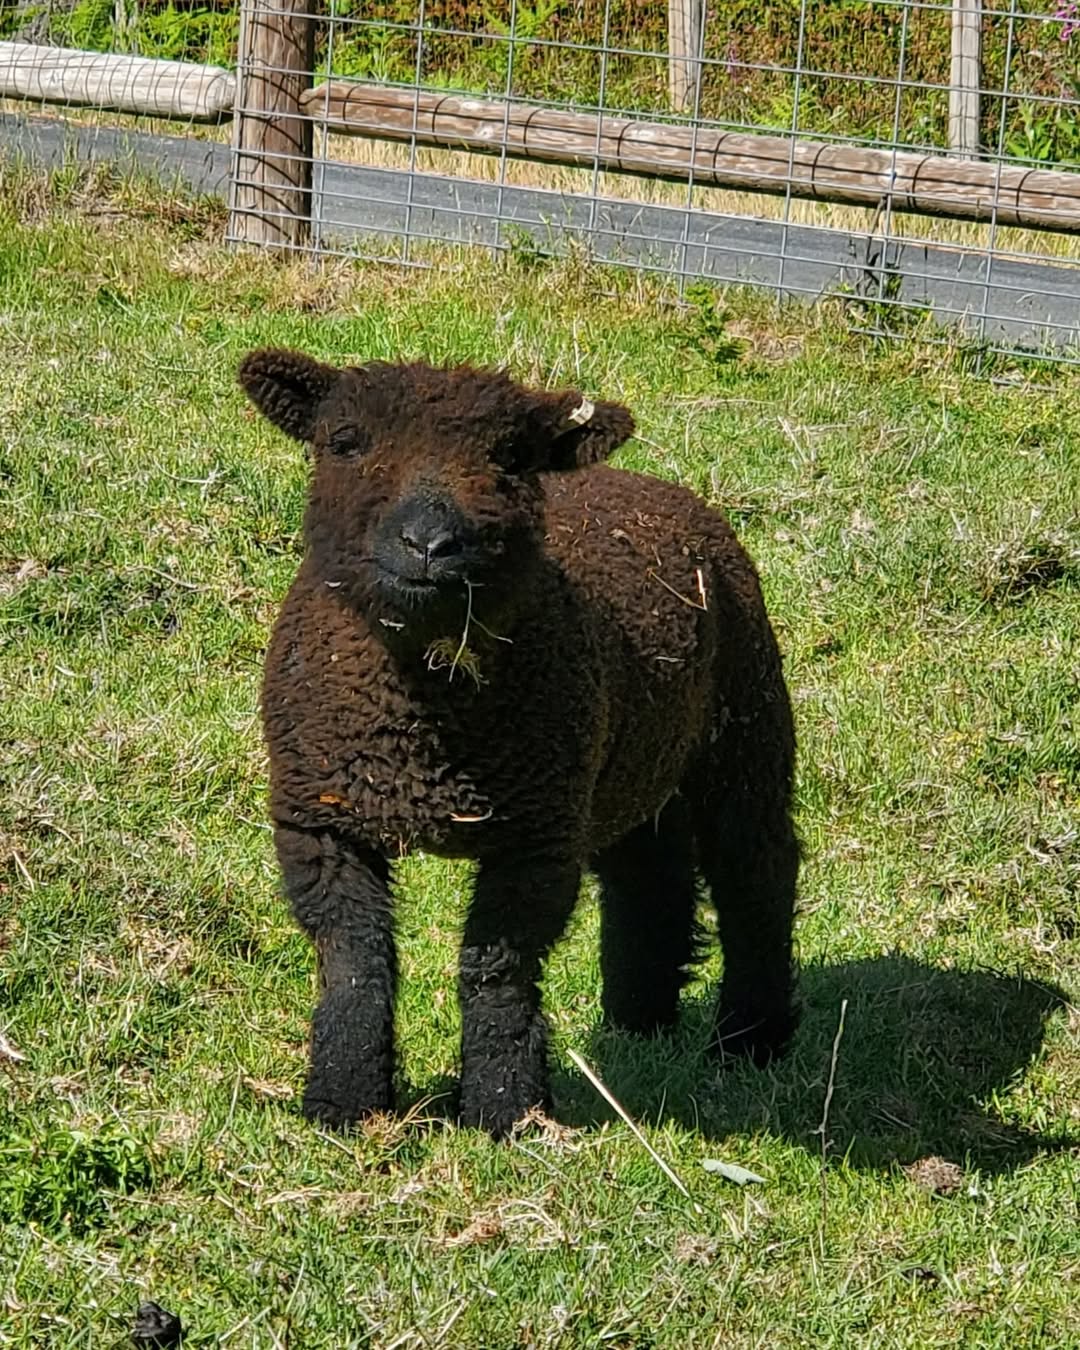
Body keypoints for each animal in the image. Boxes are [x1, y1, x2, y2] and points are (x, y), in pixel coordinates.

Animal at [239, 348, 800, 1140]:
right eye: (344, 440)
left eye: (510, 457)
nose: (429, 545)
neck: (421, 724)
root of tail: (649, 481)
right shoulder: (321, 821)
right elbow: (355, 962)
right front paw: (343, 1105)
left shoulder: (534, 838)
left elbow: (496, 970)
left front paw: (504, 1110)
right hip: (622, 763)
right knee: (650, 875)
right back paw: (639, 1024)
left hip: (745, 718)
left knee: (756, 868)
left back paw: (751, 1040)